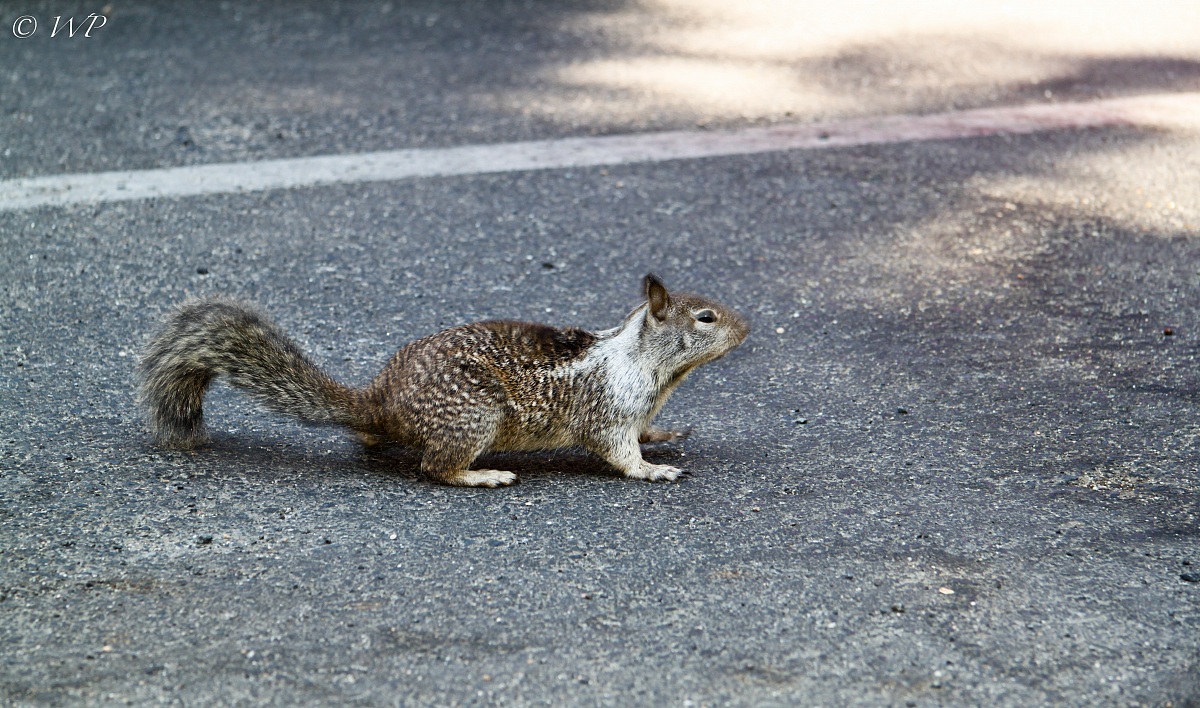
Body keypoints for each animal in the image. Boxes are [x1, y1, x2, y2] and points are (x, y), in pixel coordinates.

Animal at [138, 274, 749, 487]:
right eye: (705, 318)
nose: (746, 326)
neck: (648, 364)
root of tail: (381, 400)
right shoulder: (609, 411)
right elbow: (619, 451)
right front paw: (652, 469)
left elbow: (646, 432)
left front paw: (664, 437)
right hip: (474, 417)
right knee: (436, 468)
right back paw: (484, 475)